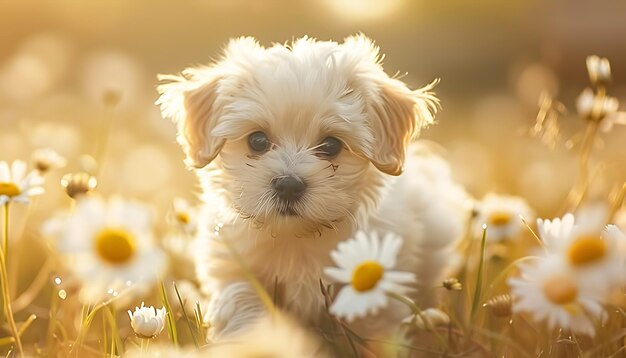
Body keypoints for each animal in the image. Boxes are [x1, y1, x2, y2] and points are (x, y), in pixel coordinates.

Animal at [157, 35, 468, 340]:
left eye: (331, 145)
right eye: (257, 141)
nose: (288, 186)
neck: (296, 240)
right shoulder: (235, 268)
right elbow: (243, 307)